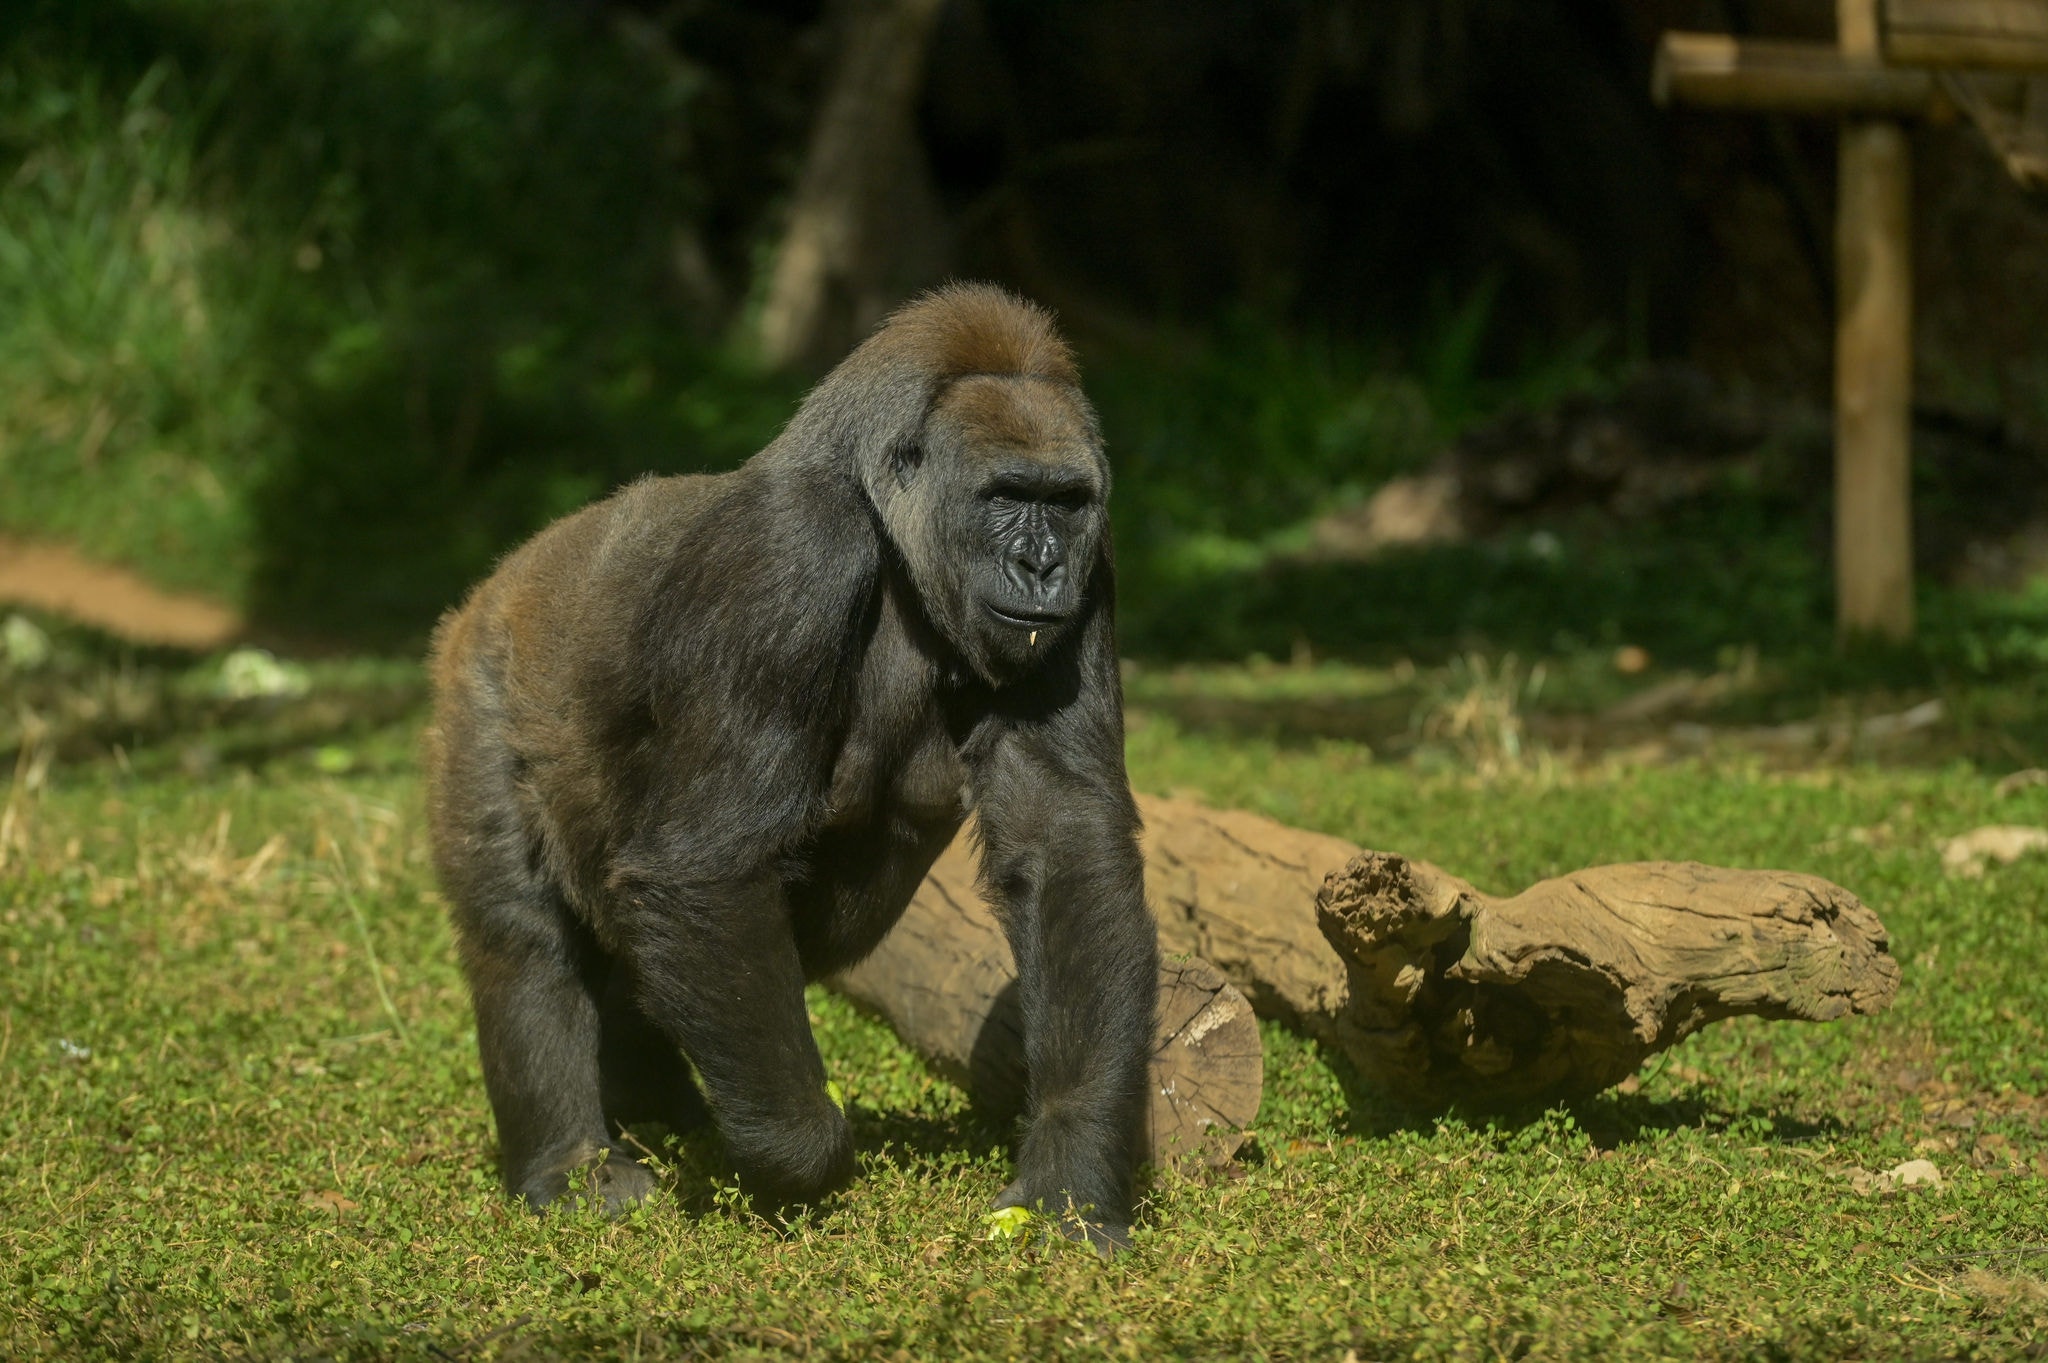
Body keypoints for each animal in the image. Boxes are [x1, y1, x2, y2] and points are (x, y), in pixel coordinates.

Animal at [423, 280, 1163, 1244]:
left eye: (1066, 502)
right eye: (1006, 494)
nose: (1041, 566)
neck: (884, 518)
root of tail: (506, 575)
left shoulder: (1096, 564)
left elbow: (1064, 841)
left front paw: (1071, 1169)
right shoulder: (789, 552)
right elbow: (705, 861)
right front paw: (802, 1152)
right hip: (480, 672)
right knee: (521, 931)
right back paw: (569, 1160)